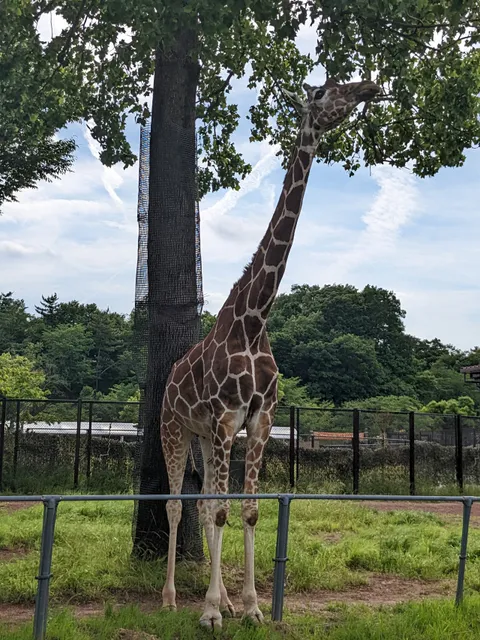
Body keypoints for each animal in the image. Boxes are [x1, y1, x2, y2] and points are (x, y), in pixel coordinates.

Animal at [160, 77, 381, 629]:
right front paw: (211, 614)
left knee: (201, 503)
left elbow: (246, 508)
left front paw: (252, 607)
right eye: (323, 93)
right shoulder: (225, 419)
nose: (368, 87)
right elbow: (219, 509)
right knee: (176, 504)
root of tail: (169, 379)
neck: (255, 320)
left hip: (202, 435)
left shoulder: (258, 420)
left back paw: (223, 598)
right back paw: (172, 597)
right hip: (175, 428)